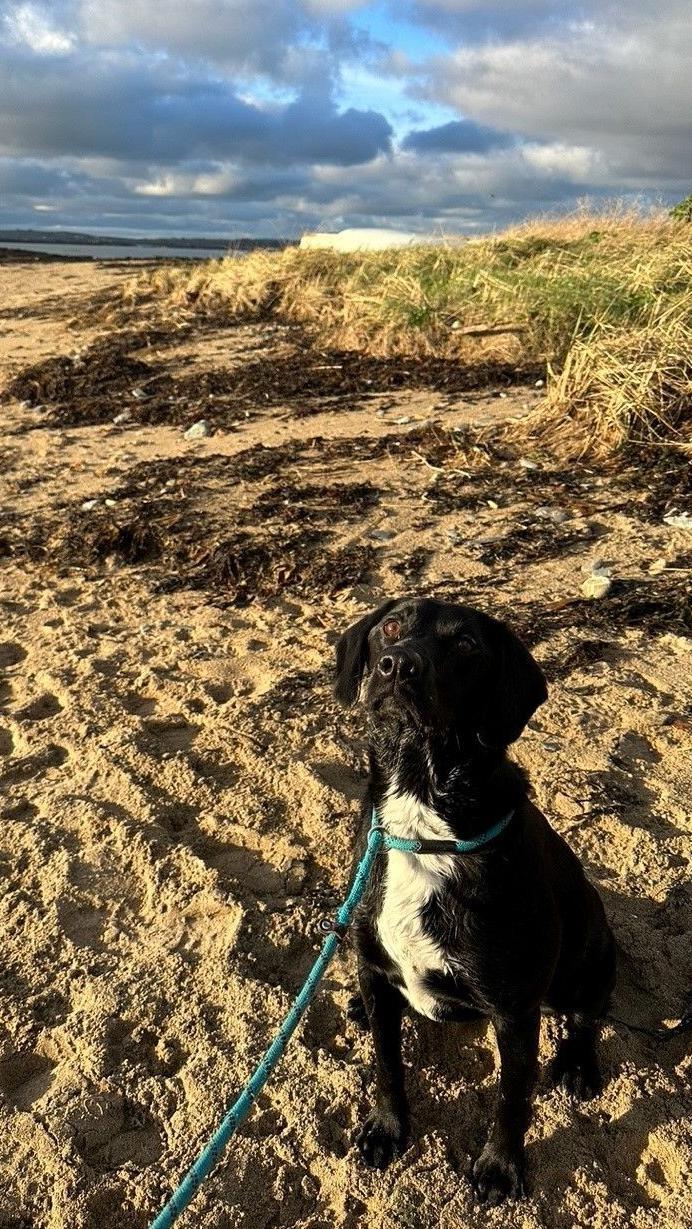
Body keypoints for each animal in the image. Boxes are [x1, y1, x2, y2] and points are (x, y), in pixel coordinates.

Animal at [336, 599, 617, 1204]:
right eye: (390, 626)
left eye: (465, 645)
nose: (398, 665)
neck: (422, 823)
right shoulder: (373, 967)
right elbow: (387, 1066)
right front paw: (388, 1129)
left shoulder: (513, 1013)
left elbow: (511, 1100)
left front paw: (498, 1168)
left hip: (590, 956)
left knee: (588, 1014)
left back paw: (577, 1065)